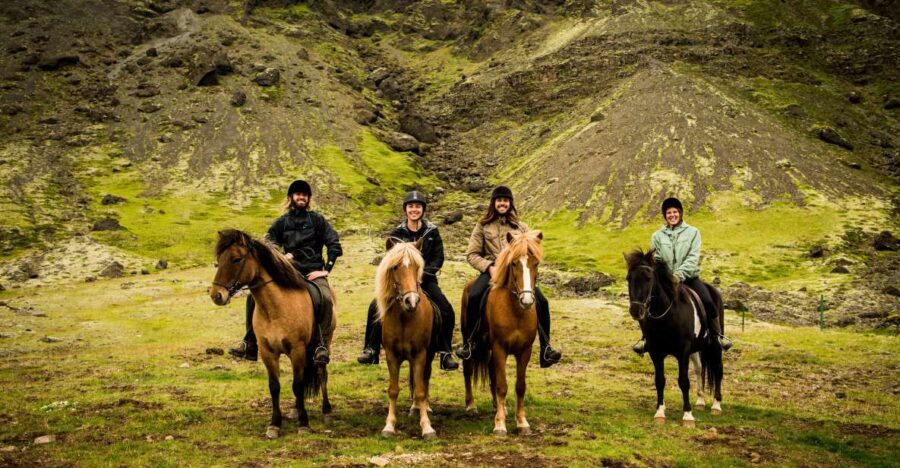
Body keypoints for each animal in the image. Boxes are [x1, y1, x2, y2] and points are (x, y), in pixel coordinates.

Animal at [209, 229, 335, 439]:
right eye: (219, 260)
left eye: (236, 259)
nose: (216, 295)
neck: (276, 308)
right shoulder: (268, 352)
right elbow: (275, 387)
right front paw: (275, 424)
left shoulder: (297, 350)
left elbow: (298, 385)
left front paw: (303, 423)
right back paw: (295, 410)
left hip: (323, 345)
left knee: (321, 373)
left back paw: (326, 411)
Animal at [375, 237, 438, 439]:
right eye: (395, 267)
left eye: (417, 266)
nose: (412, 301)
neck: (405, 316)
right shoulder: (391, 355)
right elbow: (393, 390)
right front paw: (389, 425)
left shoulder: (420, 355)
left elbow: (420, 390)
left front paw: (427, 427)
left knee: (423, 381)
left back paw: (421, 407)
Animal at [462, 230, 544, 436]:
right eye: (514, 263)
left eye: (536, 263)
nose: (527, 300)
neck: (516, 312)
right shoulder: (499, 348)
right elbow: (502, 385)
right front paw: (500, 424)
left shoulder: (525, 350)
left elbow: (519, 386)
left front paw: (522, 423)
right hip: (469, 343)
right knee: (468, 369)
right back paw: (471, 406)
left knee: (491, 371)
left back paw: (498, 406)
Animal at [624, 249, 724, 427]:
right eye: (629, 278)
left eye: (648, 278)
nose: (636, 310)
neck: (667, 316)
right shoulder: (656, 352)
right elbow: (659, 380)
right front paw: (660, 412)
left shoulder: (682, 351)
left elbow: (683, 381)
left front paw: (688, 416)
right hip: (696, 348)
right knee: (699, 369)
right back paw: (700, 401)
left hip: (714, 346)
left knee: (718, 369)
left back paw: (716, 405)